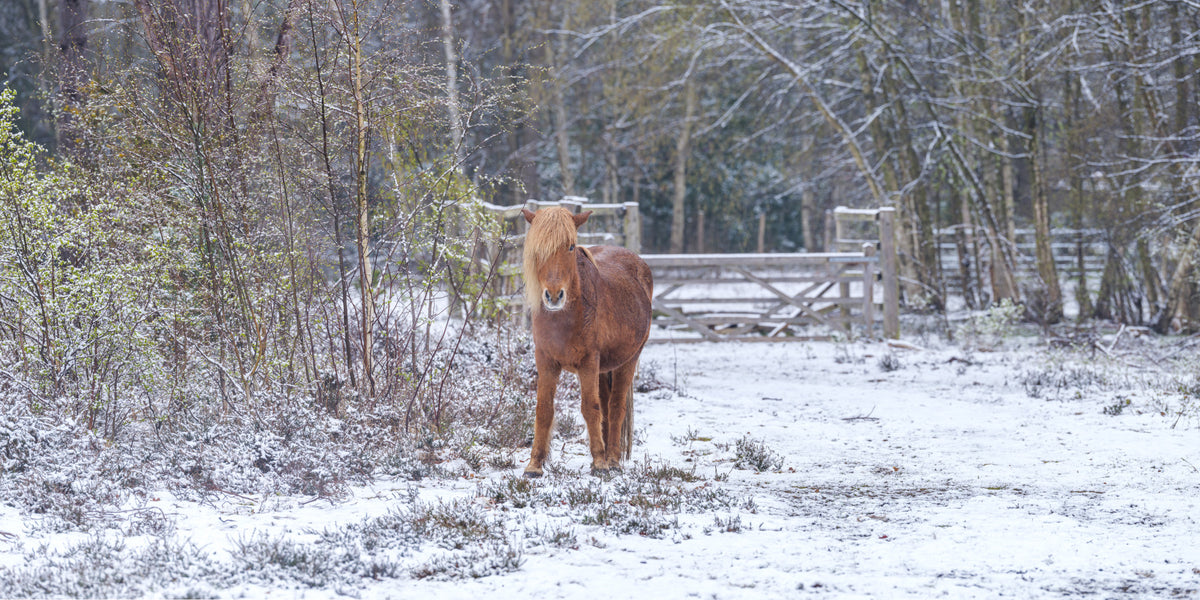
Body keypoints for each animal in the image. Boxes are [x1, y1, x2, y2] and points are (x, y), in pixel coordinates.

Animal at [520, 206, 654, 477]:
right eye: (537, 248)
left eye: (571, 246)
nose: (554, 295)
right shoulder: (545, 361)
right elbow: (544, 409)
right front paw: (534, 465)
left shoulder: (588, 362)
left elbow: (590, 408)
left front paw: (600, 462)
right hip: (603, 370)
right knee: (606, 406)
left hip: (628, 361)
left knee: (615, 407)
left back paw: (612, 459)